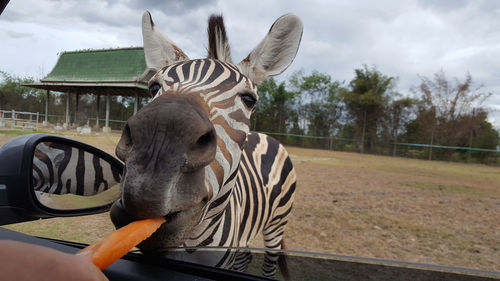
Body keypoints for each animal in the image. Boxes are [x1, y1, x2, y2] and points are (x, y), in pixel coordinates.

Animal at [110, 12, 302, 276]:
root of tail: (266, 137)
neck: (191, 243)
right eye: (154, 87)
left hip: (277, 223)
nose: (154, 158)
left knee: (270, 263)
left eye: (249, 99)